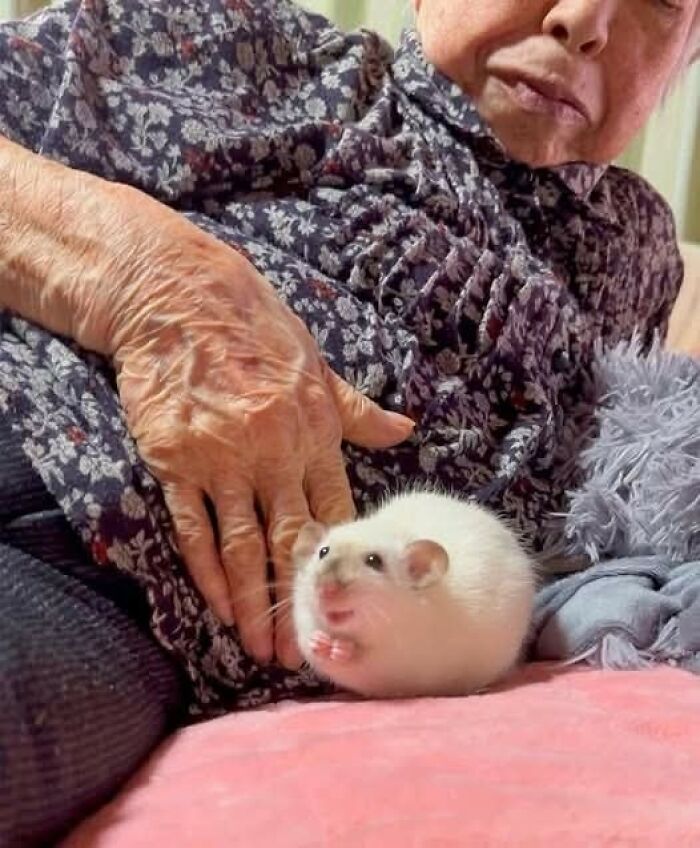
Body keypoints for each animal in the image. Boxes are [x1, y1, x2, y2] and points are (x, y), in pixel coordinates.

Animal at [291, 490, 536, 699]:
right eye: (323, 552)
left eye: (374, 561)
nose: (326, 589)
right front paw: (318, 641)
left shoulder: (396, 654)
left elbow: (366, 662)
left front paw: (343, 650)